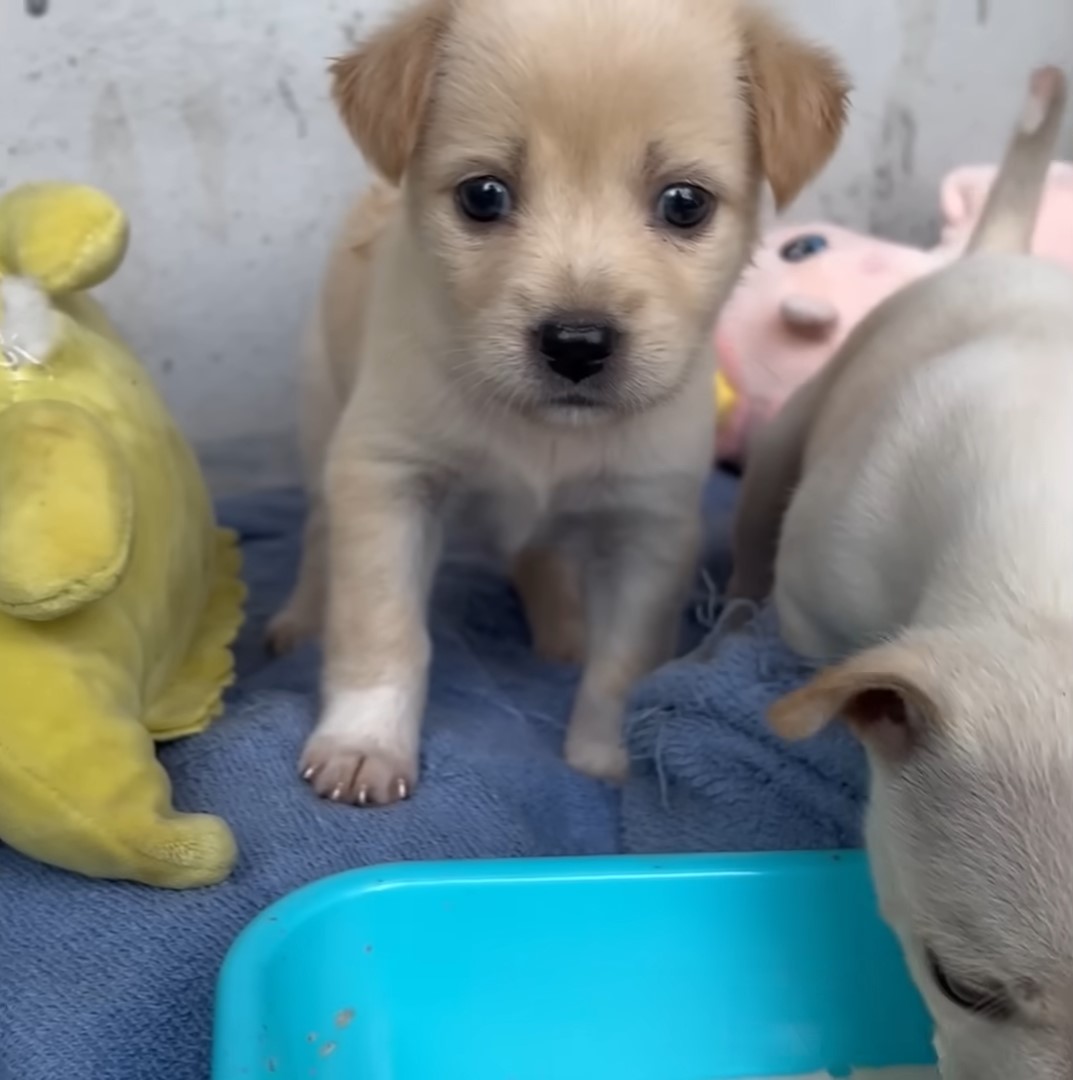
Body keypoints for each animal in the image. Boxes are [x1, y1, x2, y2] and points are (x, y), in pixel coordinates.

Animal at [272, 0, 850, 803]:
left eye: (684, 203)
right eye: (483, 196)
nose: (576, 343)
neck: (545, 431)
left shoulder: (649, 525)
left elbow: (624, 661)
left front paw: (603, 756)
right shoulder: (386, 479)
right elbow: (382, 627)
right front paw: (366, 742)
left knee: (540, 553)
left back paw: (561, 630)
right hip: (322, 416)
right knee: (320, 536)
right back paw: (298, 618)